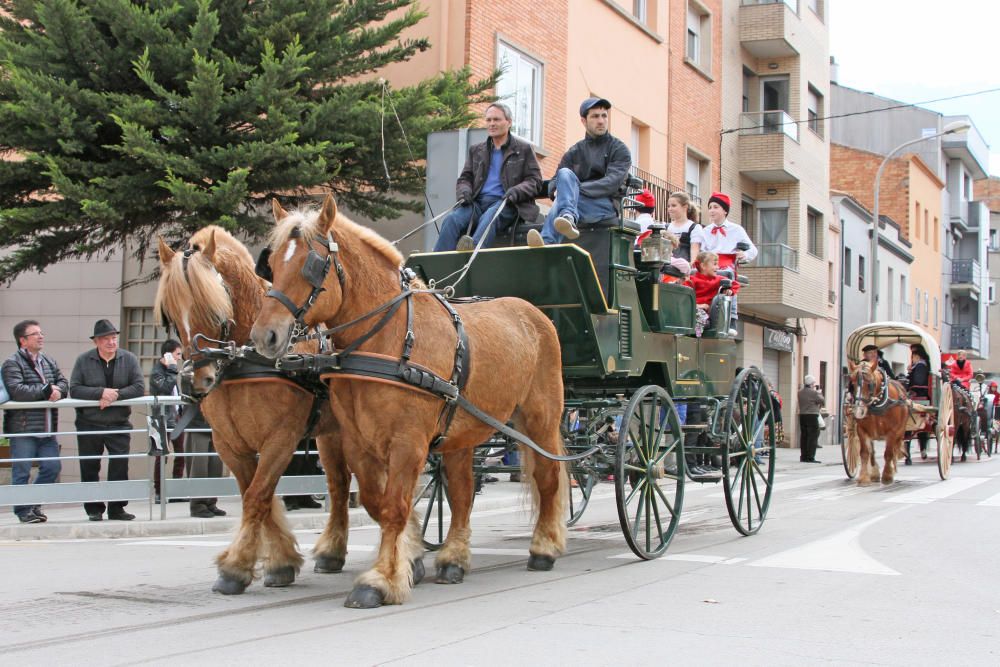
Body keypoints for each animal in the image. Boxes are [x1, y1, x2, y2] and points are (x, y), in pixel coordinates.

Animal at [156, 228, 356, 596]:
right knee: (338, 484)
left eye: (214, 309)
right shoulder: (229, 443)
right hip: (332, 432)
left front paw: (235, 567)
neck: (244, 360)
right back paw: (332, 552)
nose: (194, 380)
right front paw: (279, 561)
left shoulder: (281, 438)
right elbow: (257, 494)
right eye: (171, 314)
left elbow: (257, 496)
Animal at [248, 194, 572, 612]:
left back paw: (544, 548)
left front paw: (381, 580)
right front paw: (411, 558)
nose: (264, 336)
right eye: (271, 264)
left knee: (548, 478)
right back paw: (453, 559)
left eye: (312, 265)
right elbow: (375, 501)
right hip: (461, 433)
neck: (389, 339)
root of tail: (535, 314)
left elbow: (394, 506)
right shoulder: (358, 441)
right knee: (463, 491)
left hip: (540, 419)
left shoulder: (408, 442)